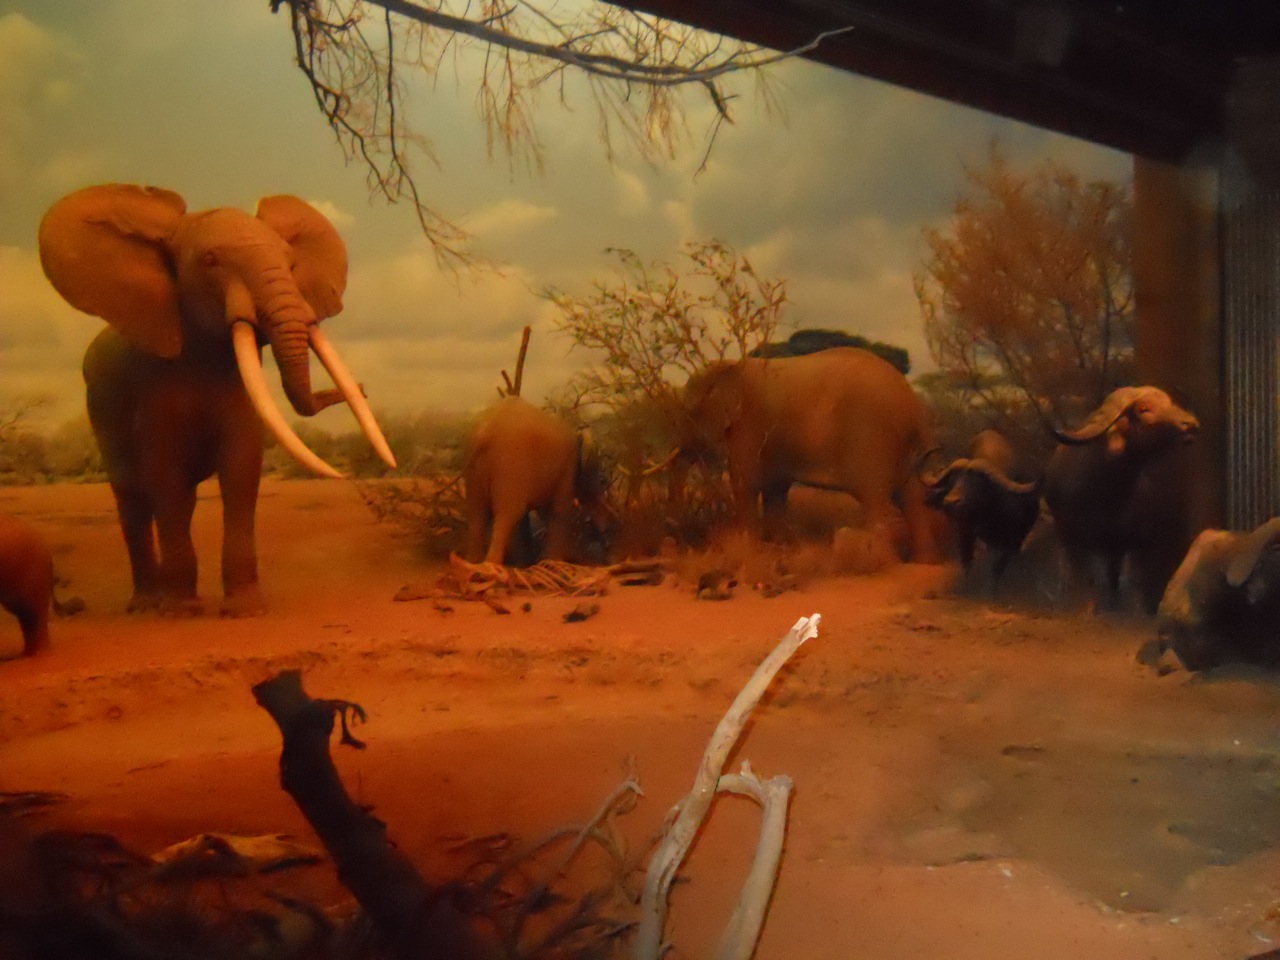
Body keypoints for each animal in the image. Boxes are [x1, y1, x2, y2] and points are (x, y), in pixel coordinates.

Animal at [38, 184, 395, 616]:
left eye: (291, 263)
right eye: (210, 261)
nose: (362, 386)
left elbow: (241, 470)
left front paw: (245, 609)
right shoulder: (152, 389)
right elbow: (165, 472)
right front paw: (181, 611)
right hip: (100, 405)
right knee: (133, 498)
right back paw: (148, 604)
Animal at [464, 397, 610, 566]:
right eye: (601, 479)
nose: (606, 533)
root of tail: (486, 431)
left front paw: (529, 564)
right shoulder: (567, 469)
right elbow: (558, 511)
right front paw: (553, 563)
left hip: (474, 471)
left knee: (476, 515)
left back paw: (471, 564)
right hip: (509, 465)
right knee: (507, 516)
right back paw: (490, 566)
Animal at [676, 346, 943, 562]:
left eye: (689, 414)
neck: (730, 365)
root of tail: (912, 405)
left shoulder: (749, 426)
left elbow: (745, 485)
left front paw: (750, 552)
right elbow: (774, 489)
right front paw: (779, 552)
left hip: (872, 438)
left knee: (877, 500)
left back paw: (885, 565)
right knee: (913, 500)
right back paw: (923, 563)